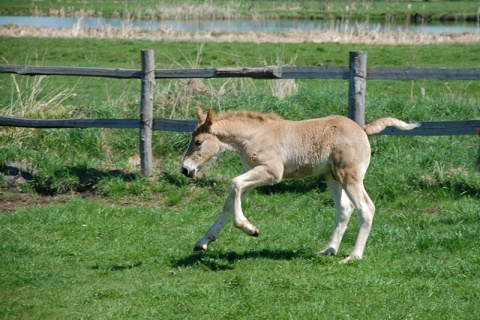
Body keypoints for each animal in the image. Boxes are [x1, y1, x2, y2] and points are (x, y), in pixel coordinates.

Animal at [182, 107, 418, 262]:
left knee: (365, 208)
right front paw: (203, 242)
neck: (255, 135)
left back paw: (353, 256)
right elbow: (230, 199)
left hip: (349, 175)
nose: (185, 169)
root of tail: (362, 129)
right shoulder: (250, 171)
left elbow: (234, 185)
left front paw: (250, 229)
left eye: (198, 142)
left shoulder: (271, 172)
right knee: (345, 208)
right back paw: (328, 250)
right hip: (331, 176)